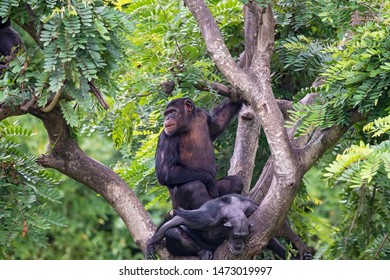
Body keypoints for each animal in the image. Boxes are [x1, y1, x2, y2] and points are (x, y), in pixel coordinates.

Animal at [146, 194, 286, 260]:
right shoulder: (206, 218)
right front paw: (150, 246)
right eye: (236, 236)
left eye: (243, 236)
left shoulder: (251, 209)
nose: (238, 243)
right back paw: (203, 252)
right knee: (173, 231)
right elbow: (176, 221)